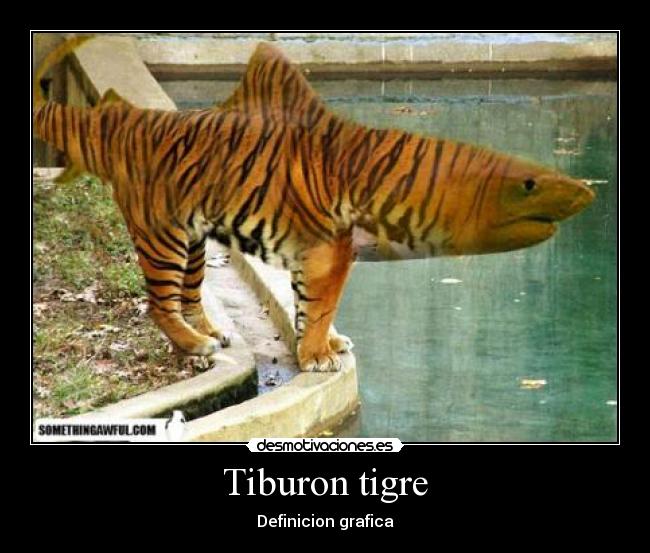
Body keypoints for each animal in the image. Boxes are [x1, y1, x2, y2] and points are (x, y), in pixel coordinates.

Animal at [33, 37, 595, 373]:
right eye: (529, 185)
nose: (587, 192)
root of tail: (124, 117)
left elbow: (313, 305)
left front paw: (323, 346)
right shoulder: (330, 247)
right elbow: (322, 305)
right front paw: (319, 355)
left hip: (192, 241)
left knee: (187, 296)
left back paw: (208, 332)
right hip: (162, 235)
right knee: (158, 301)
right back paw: (196, 346)